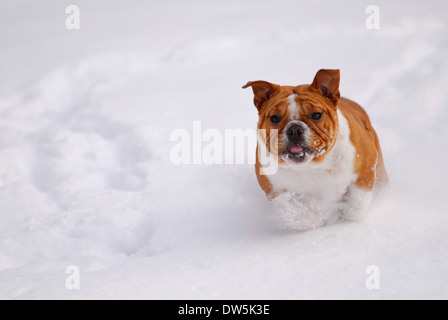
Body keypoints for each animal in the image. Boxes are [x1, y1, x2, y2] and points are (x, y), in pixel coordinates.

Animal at [243, 69, 386, 230]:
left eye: (316, 115)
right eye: (274, 118)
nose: (294, 129)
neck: (311, 165)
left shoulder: (364, 173)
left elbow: (355, 206)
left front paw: (345, 218)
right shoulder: (275, 191)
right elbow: (296, 214)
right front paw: (317, 221)